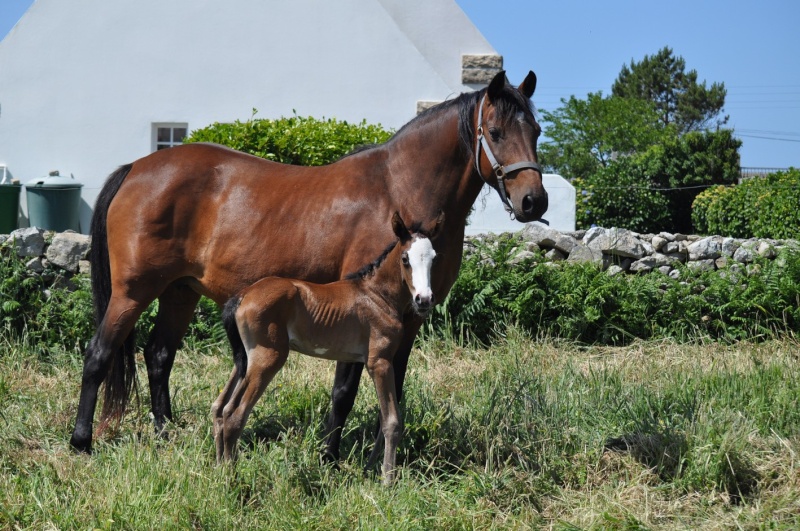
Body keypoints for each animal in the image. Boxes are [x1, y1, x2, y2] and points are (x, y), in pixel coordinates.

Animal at [69, 68, 548, 456]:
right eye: (496, 131)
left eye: (537, 131)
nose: (534, 201)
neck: (399, 189)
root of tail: (136, 168)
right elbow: (344, 390)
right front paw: (329, 456)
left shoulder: (408, 321)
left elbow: (394, 388)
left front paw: (377, 458)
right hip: (132, 292)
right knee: (99, 354)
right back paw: (81, 441)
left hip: (179, 292)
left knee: (159, 355)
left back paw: (165, 434)